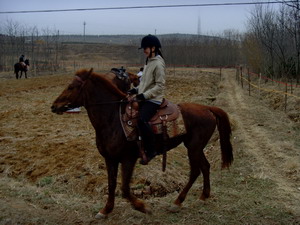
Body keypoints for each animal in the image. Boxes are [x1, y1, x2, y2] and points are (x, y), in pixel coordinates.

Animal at [51, 69, 234, 220]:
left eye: (71, 87)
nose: (54, 106)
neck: (113, 119)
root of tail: (208, 108)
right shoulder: (110, 159)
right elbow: (111, 185)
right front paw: (106, 210)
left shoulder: (128, 159)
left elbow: (124, 189)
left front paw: (142, 207)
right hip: (196, 147)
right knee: (205, 166)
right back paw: (203, 196)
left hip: (194, 148)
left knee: (195, 171)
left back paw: (177, 202)